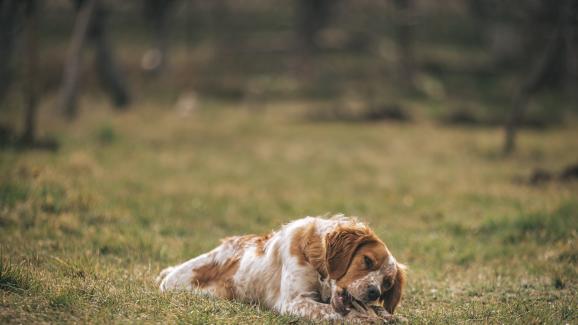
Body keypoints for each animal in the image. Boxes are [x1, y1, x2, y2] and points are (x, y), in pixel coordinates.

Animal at [155, 214, 402, 320]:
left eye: (387, 283)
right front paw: (367, 318)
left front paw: (384, 314)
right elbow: (338, 312)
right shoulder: (294, 302)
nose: (374, 292)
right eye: (367, 260)